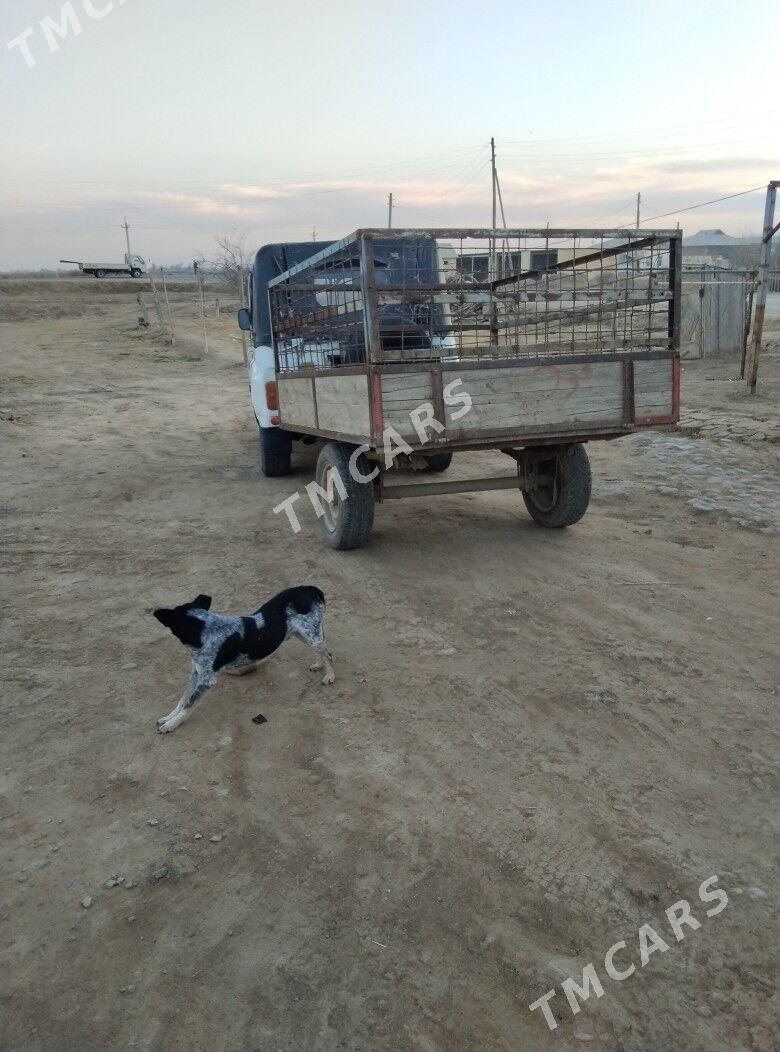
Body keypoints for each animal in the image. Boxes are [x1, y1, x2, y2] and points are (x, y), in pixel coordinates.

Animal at [152, 589, 332, 736]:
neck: (205, 629)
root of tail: (311, 588)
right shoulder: (196, 672)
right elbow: (183, 699)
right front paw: (169, 717)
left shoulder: (206, 681)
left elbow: (189, 704)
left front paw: (172, 725)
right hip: (301, 634)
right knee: (322, 650)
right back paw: (319, 665)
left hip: (310, 635)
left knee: (328, 653)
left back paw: (330, 676)